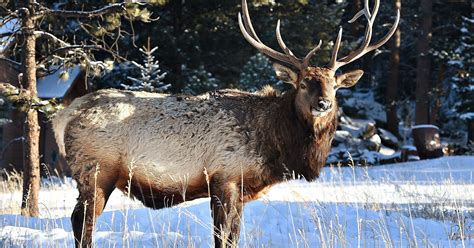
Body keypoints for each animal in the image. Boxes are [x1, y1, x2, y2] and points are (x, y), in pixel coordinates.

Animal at [53, 0, 398, 246]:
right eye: (302, 84)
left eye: (334, 86)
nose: (323, 104)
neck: (275, 147)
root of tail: (63, 115)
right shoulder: (225, 178)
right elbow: (222, 239)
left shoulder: (241, 190)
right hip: (96, 171)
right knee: (81, 224)